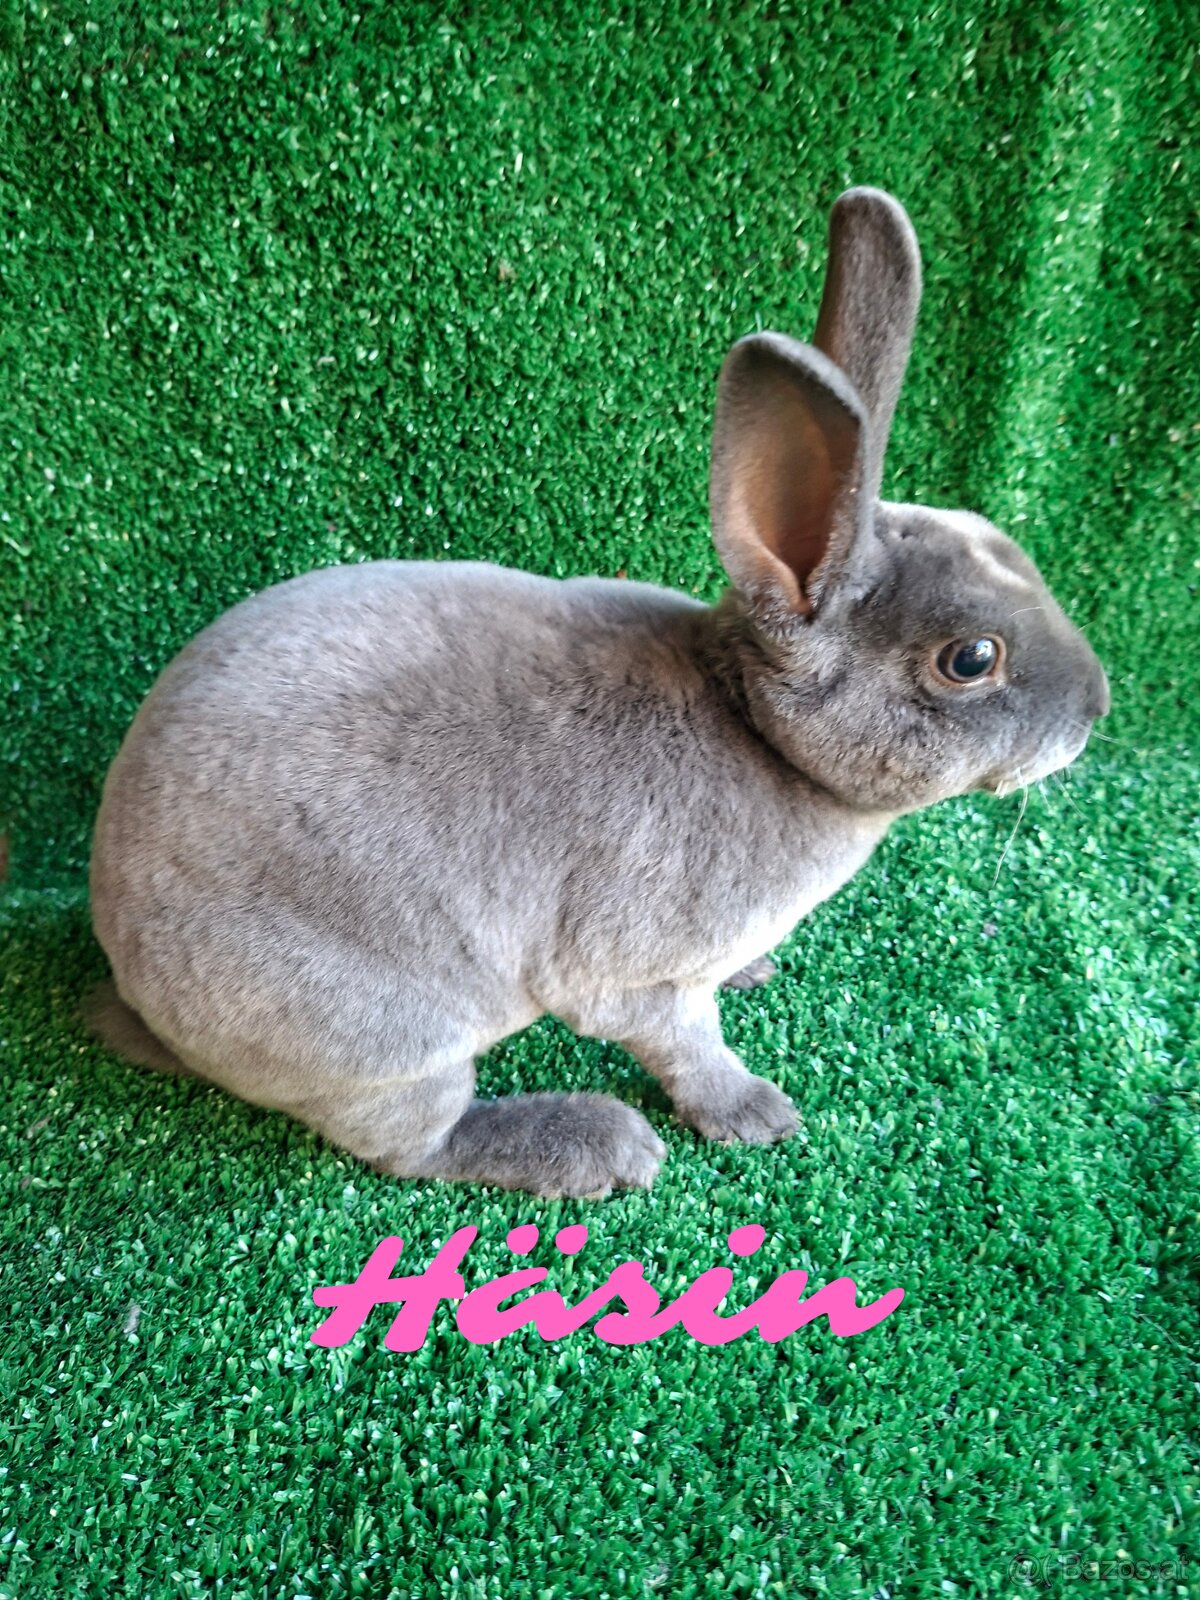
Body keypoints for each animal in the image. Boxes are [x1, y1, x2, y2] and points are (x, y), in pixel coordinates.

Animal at [87, 187, 1110, 1198]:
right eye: (970, 660)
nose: (1096, 707)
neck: (754, 727)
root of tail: (134, 979)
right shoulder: (637, 977)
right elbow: (687, 1046)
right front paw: (755, 1115)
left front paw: (753, 975)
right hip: (389, 1040)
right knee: (411, 1145)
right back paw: (595, 1145)